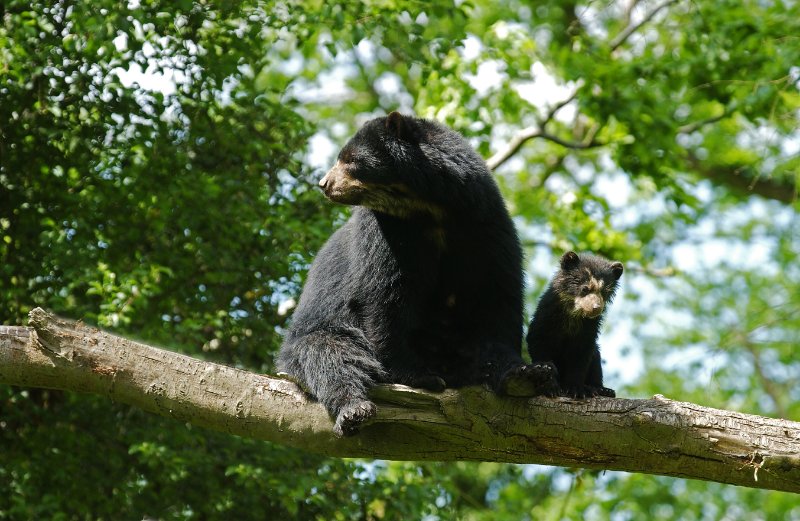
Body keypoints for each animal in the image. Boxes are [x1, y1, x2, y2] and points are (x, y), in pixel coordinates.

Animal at [278, 112, 560, 434]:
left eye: (350, 159)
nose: (323, 183)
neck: (427, 209)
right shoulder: (385, 233)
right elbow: (386, 296)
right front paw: (414, 374)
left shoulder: (486, 225)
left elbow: (497, 296)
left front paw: (523, 371)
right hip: (318, 335)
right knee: (332, 357)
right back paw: (355, 408)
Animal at [524, 252, 624, 398]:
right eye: (585, 289)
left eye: (604, 292)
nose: (596, 308)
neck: (574, 315)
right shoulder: (547, 316)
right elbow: (539, 342)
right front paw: (550, 386)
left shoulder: (589, 327)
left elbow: (581, 355)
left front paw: (575, 389)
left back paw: (603, 390)